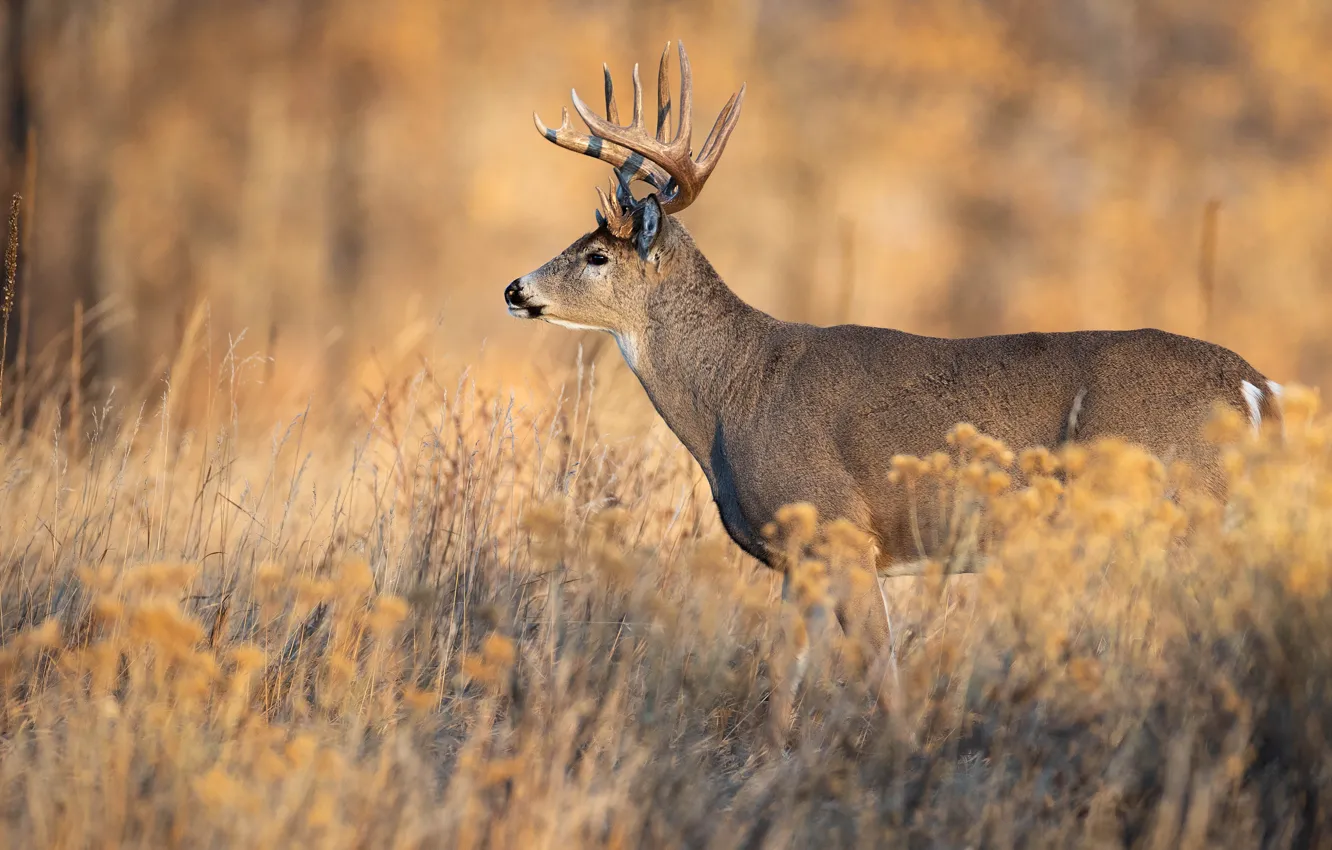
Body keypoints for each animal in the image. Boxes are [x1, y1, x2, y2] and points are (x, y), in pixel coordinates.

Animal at [504, 42, 1282, 657]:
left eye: (597, 254)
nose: (515, 288)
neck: (736, 394)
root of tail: (1254, 385)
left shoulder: (839, 529)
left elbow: (879, 669)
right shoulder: (801, 559)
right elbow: (787, 674)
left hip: (1181, 512)